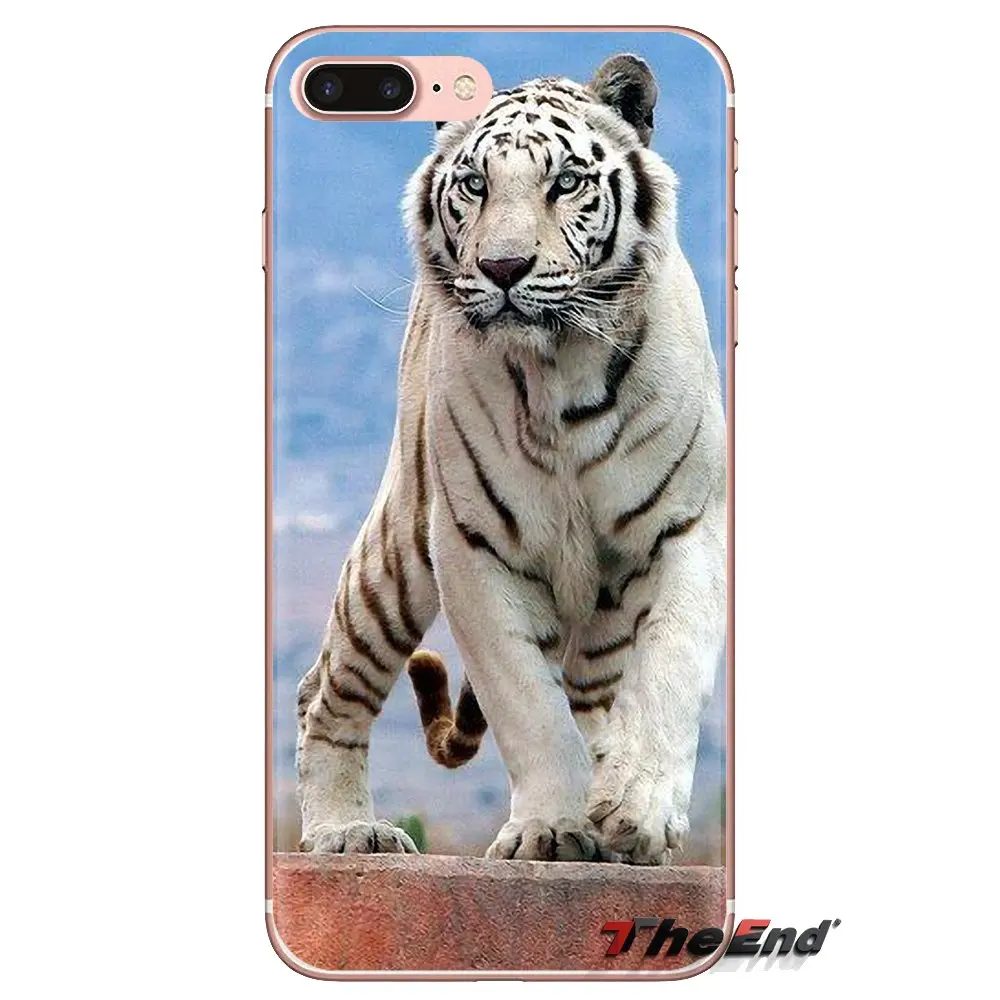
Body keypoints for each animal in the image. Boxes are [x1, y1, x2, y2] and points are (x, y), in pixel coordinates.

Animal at [295, 53, 726, 865]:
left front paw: (638, 812)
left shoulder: (688, 528)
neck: (563, 371)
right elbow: (527, 703)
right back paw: (345, 830)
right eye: (474, 183)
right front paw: (552, 826)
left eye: (567, 181)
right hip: (396, 553)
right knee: (325, 689)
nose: (502, 267)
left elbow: (669, 668)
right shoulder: (472, 546)